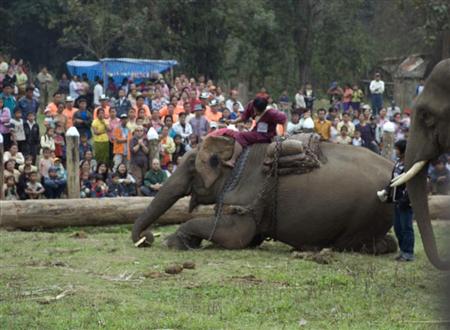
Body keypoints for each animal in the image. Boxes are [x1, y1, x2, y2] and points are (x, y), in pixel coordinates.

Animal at [131, 134, 398, 255]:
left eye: (189, 165)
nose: (146, 238)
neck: (234, 155)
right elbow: (249, 238)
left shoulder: (247, 199)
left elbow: (236, 236)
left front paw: (175, 241)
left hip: (365, 211)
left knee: (351, 243)